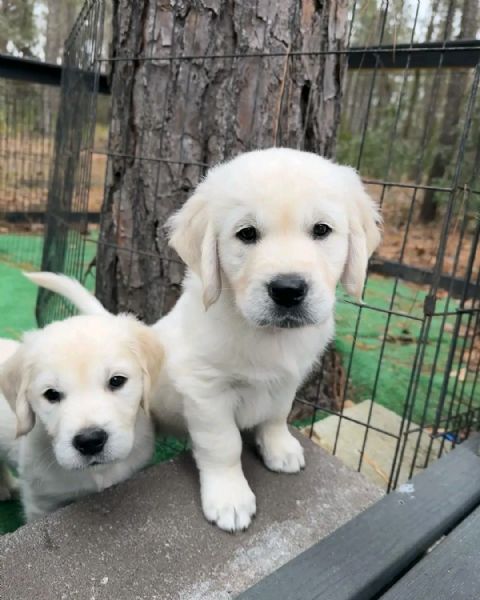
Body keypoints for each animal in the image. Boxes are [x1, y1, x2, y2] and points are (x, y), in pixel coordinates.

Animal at [35, 148, 382, 532]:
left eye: (322, 230)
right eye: (246, 233)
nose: (288, 289)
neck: (264, 334)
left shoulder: (287, 379)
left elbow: (276, 414)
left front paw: (280, 448)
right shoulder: (206, 391)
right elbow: (223, 444)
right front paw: (230, 498)